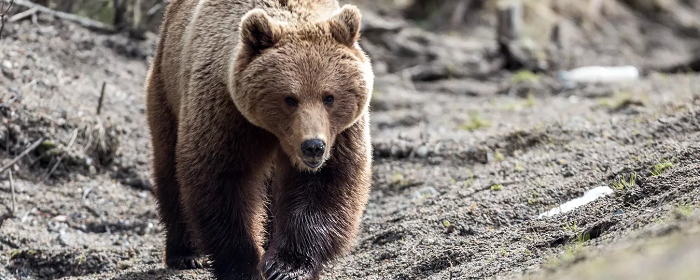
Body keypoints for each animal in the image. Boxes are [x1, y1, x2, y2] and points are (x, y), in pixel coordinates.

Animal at [142, 0, 372, 278]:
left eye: (329, 97)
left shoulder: (341, 133)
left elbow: (326, 184)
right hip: (166, 88)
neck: (273, 132)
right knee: (169, 169)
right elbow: (222, 180)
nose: (313, 147)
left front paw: (286, 266)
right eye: (289, 98)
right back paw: (186, 253)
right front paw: (244, 265)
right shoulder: (226, 112)